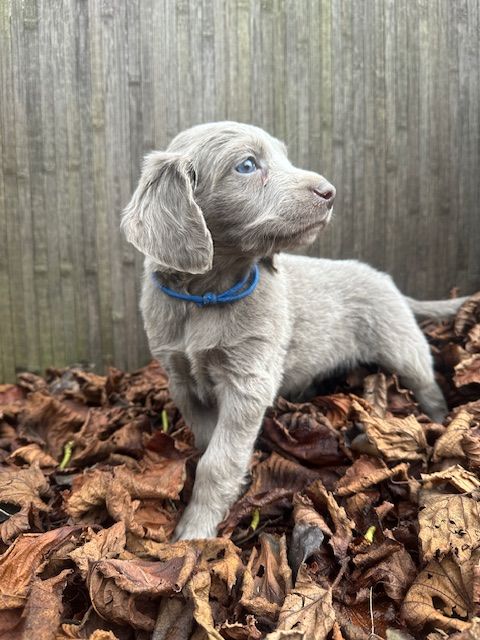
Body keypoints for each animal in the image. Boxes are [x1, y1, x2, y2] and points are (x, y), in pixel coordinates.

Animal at [122, 121, 466, 540]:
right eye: (247, 165)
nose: (329, 192)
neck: (206, 298)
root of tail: (388, 281)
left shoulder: (248, 380)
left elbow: (218, 462)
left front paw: (195, 531)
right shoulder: (181, 380)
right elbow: (208, 444)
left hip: (402, 346)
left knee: (428, 385)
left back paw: (439, 425)